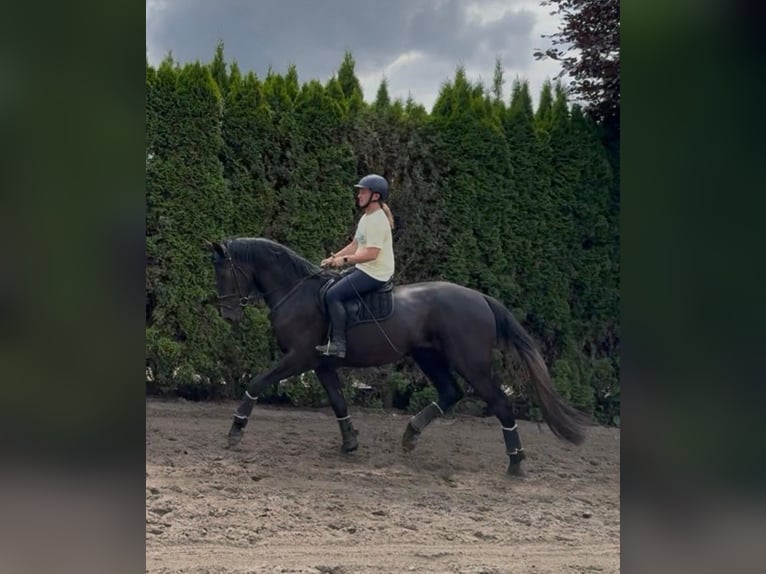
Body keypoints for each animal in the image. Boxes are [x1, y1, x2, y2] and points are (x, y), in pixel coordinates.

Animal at [209, 237, 587, 475]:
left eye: (224, 272)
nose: (228, 314)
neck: (296, 291)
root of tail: (480, 298)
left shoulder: (298, 358)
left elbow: (257, 382)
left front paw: (235, 430)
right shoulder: (321, 364)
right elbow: (339, 402)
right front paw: (350, 444)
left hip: (471, 364)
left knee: (500, 405)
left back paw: (515, 462)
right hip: (429, 357)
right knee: (450, 393)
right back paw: (411, 434)